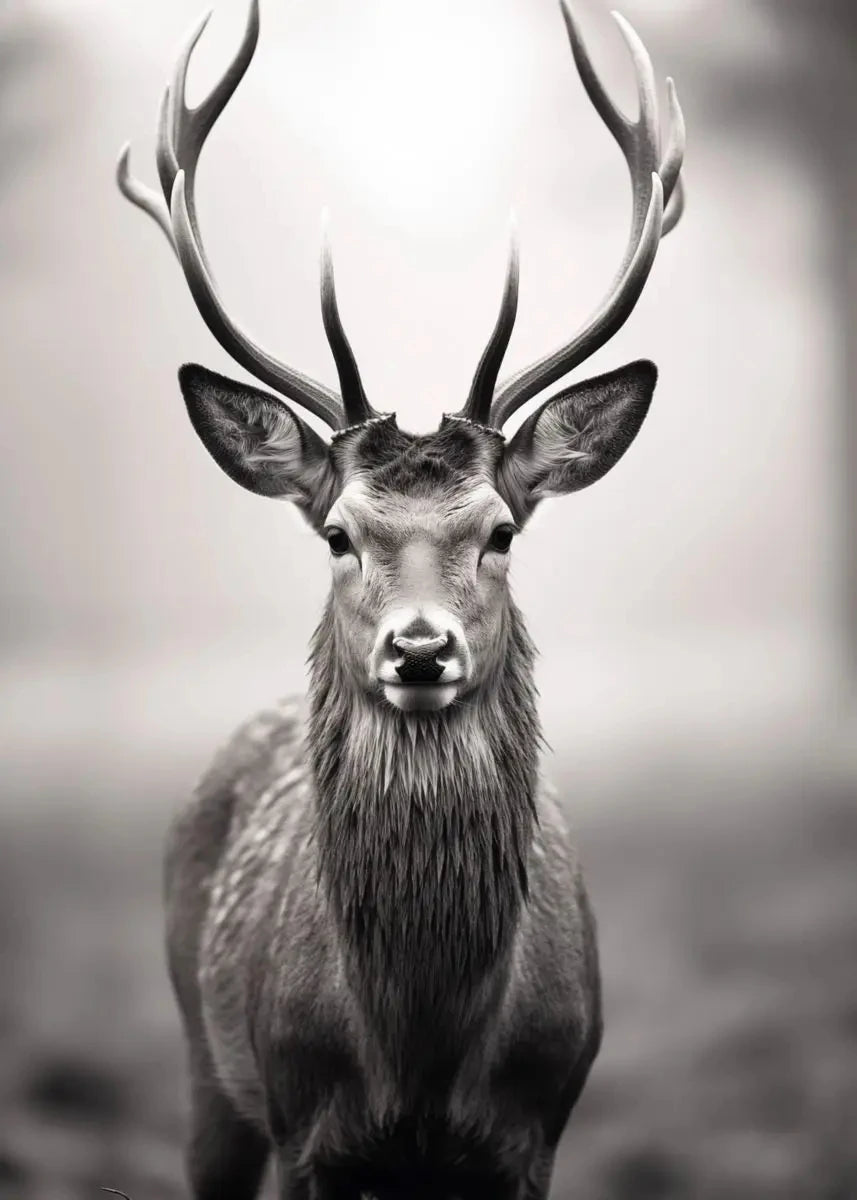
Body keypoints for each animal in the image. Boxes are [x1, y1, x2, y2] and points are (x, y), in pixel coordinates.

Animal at [117, 1, 684, 1196]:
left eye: (501, 532)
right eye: (338, 533)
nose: (418, 652)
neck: (420, 1048)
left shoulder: (536, 1123)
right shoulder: (304, 1124)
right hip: (204, 1067)